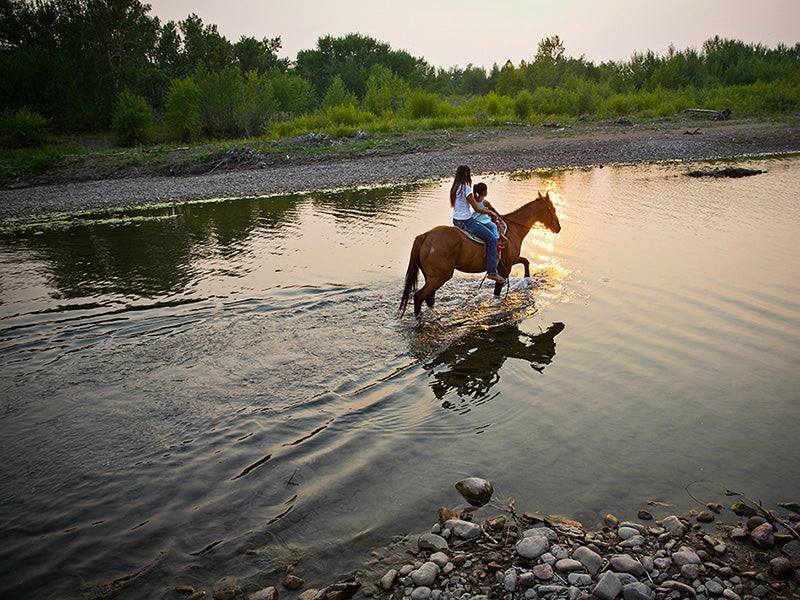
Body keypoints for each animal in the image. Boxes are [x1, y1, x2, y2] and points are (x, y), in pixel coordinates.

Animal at [400, 192, 564, 318]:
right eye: (552, 208)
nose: (558, 228)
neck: (513, 229)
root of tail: (425, 236)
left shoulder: (510, 261)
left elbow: (525, 261)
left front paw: (527, 280)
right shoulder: (504, 269)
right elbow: (497, 292)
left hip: (431, 277)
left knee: (428, 298)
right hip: (439, 277)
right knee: (419, 297)